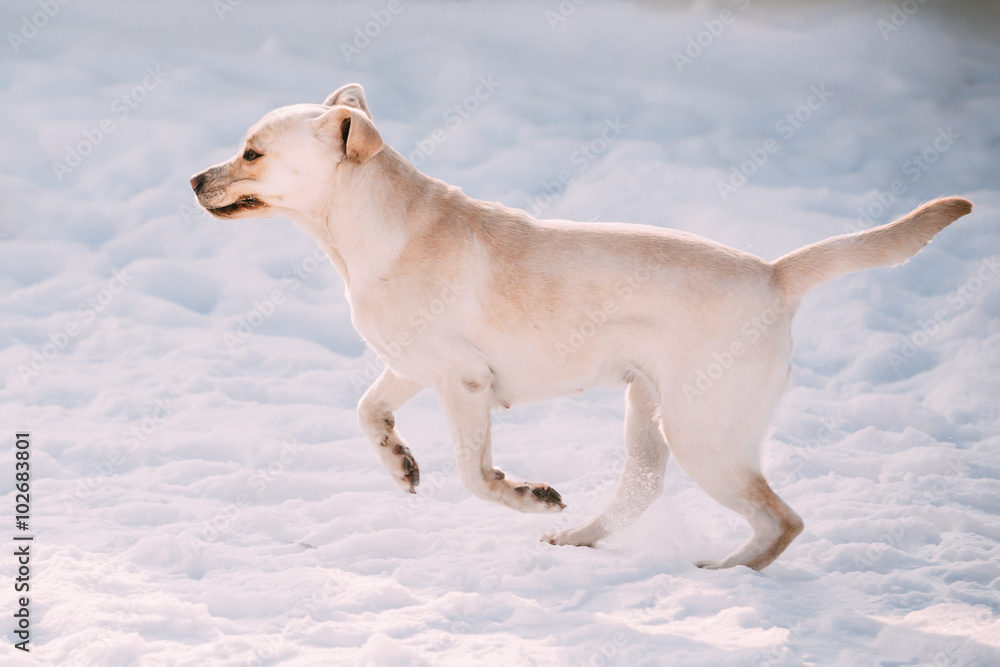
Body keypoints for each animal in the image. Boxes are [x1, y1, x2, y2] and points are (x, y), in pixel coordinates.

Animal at [191, 83, 972, 572]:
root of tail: (776, 273)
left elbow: (475, 476)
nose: (194, 180)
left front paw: (522, 492)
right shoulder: (413, 366)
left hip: (705, 432)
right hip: (650, 414)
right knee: (642, 491)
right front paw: (399, 460)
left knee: (782, 520)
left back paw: (722, 573)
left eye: (252, 152)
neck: (364, 229)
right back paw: (576, 539)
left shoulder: (463, 382)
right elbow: (365, 411)